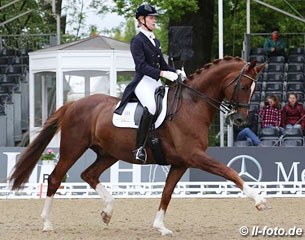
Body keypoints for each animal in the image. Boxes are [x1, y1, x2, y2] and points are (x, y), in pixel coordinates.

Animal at [8, 56, 266, 236]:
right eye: (244, 86)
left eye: (254, 89)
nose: (240, 120)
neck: (192, 105)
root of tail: (73, 104)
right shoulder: (194, 156)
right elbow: (229, 171)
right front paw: (259, 200)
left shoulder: (181, 162)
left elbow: (167, 192)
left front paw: (160, 226)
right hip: (73, 149)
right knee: (55, 178)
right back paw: (47, 223)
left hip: (109, 153)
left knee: (88, 174)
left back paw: (107, 211)